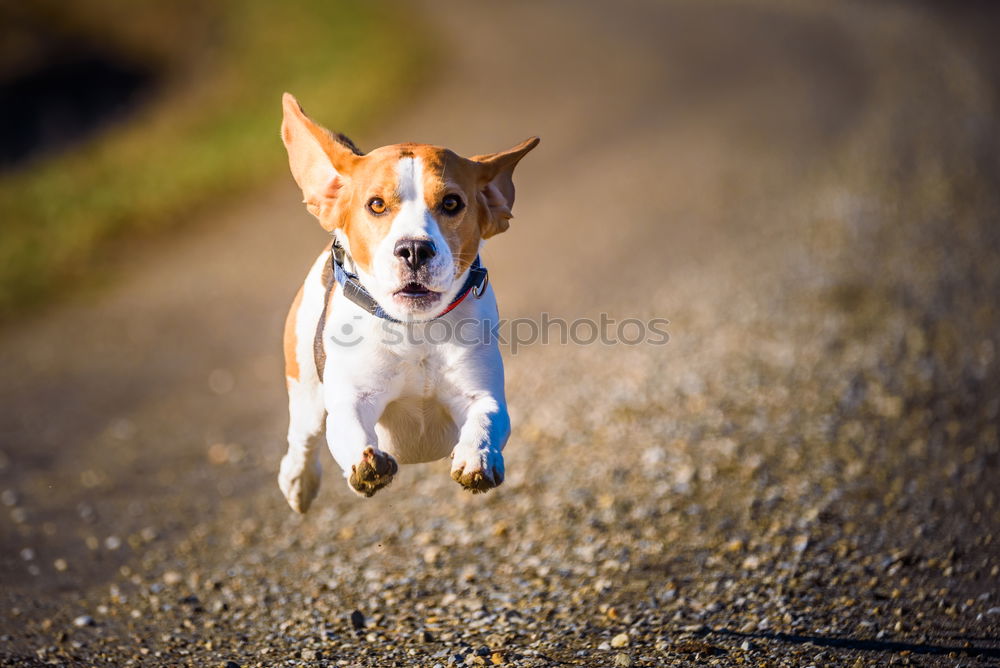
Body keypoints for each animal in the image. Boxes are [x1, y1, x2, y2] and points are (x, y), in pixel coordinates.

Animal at [274, 94, 540, 512]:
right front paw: (365, 464)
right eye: (376, 205)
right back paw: (299, 482)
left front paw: (477, 458)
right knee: (302, 440)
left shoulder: (481, 393)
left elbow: (485, 419)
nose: (414, 248)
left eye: (452, 203)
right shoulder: (353, 397)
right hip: (305, 389)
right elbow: (350, 425)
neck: (416, 330)